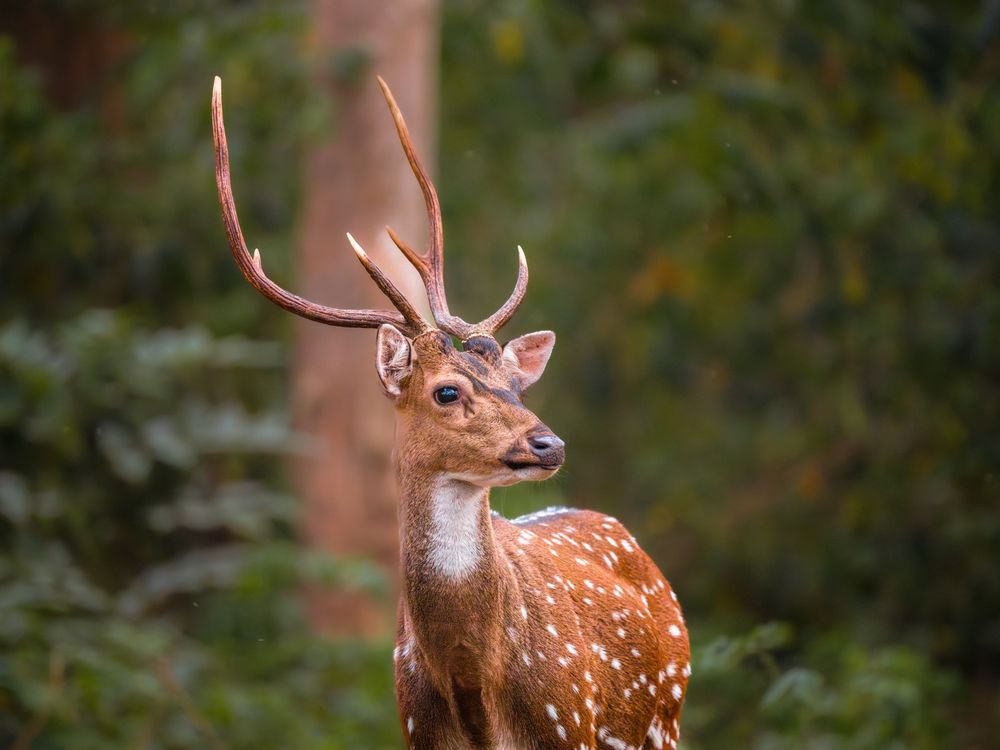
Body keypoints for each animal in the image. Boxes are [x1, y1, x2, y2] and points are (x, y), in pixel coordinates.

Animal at [211, 74, 689, 750]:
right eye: (445, 392)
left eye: (517, 385)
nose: (550, 444)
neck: (476, 696)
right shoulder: (417, 731)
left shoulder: (569, 724)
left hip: (665, 711)